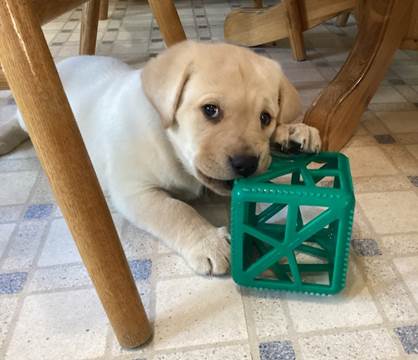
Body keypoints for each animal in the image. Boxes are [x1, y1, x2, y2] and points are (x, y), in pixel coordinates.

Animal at [17, 40, 320, 276]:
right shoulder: (134, 191)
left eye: (265, 118)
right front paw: (209, 242)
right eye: (210, 110)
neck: (170, 145)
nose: (246, 164)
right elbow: (176, 210)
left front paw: (292, 132)